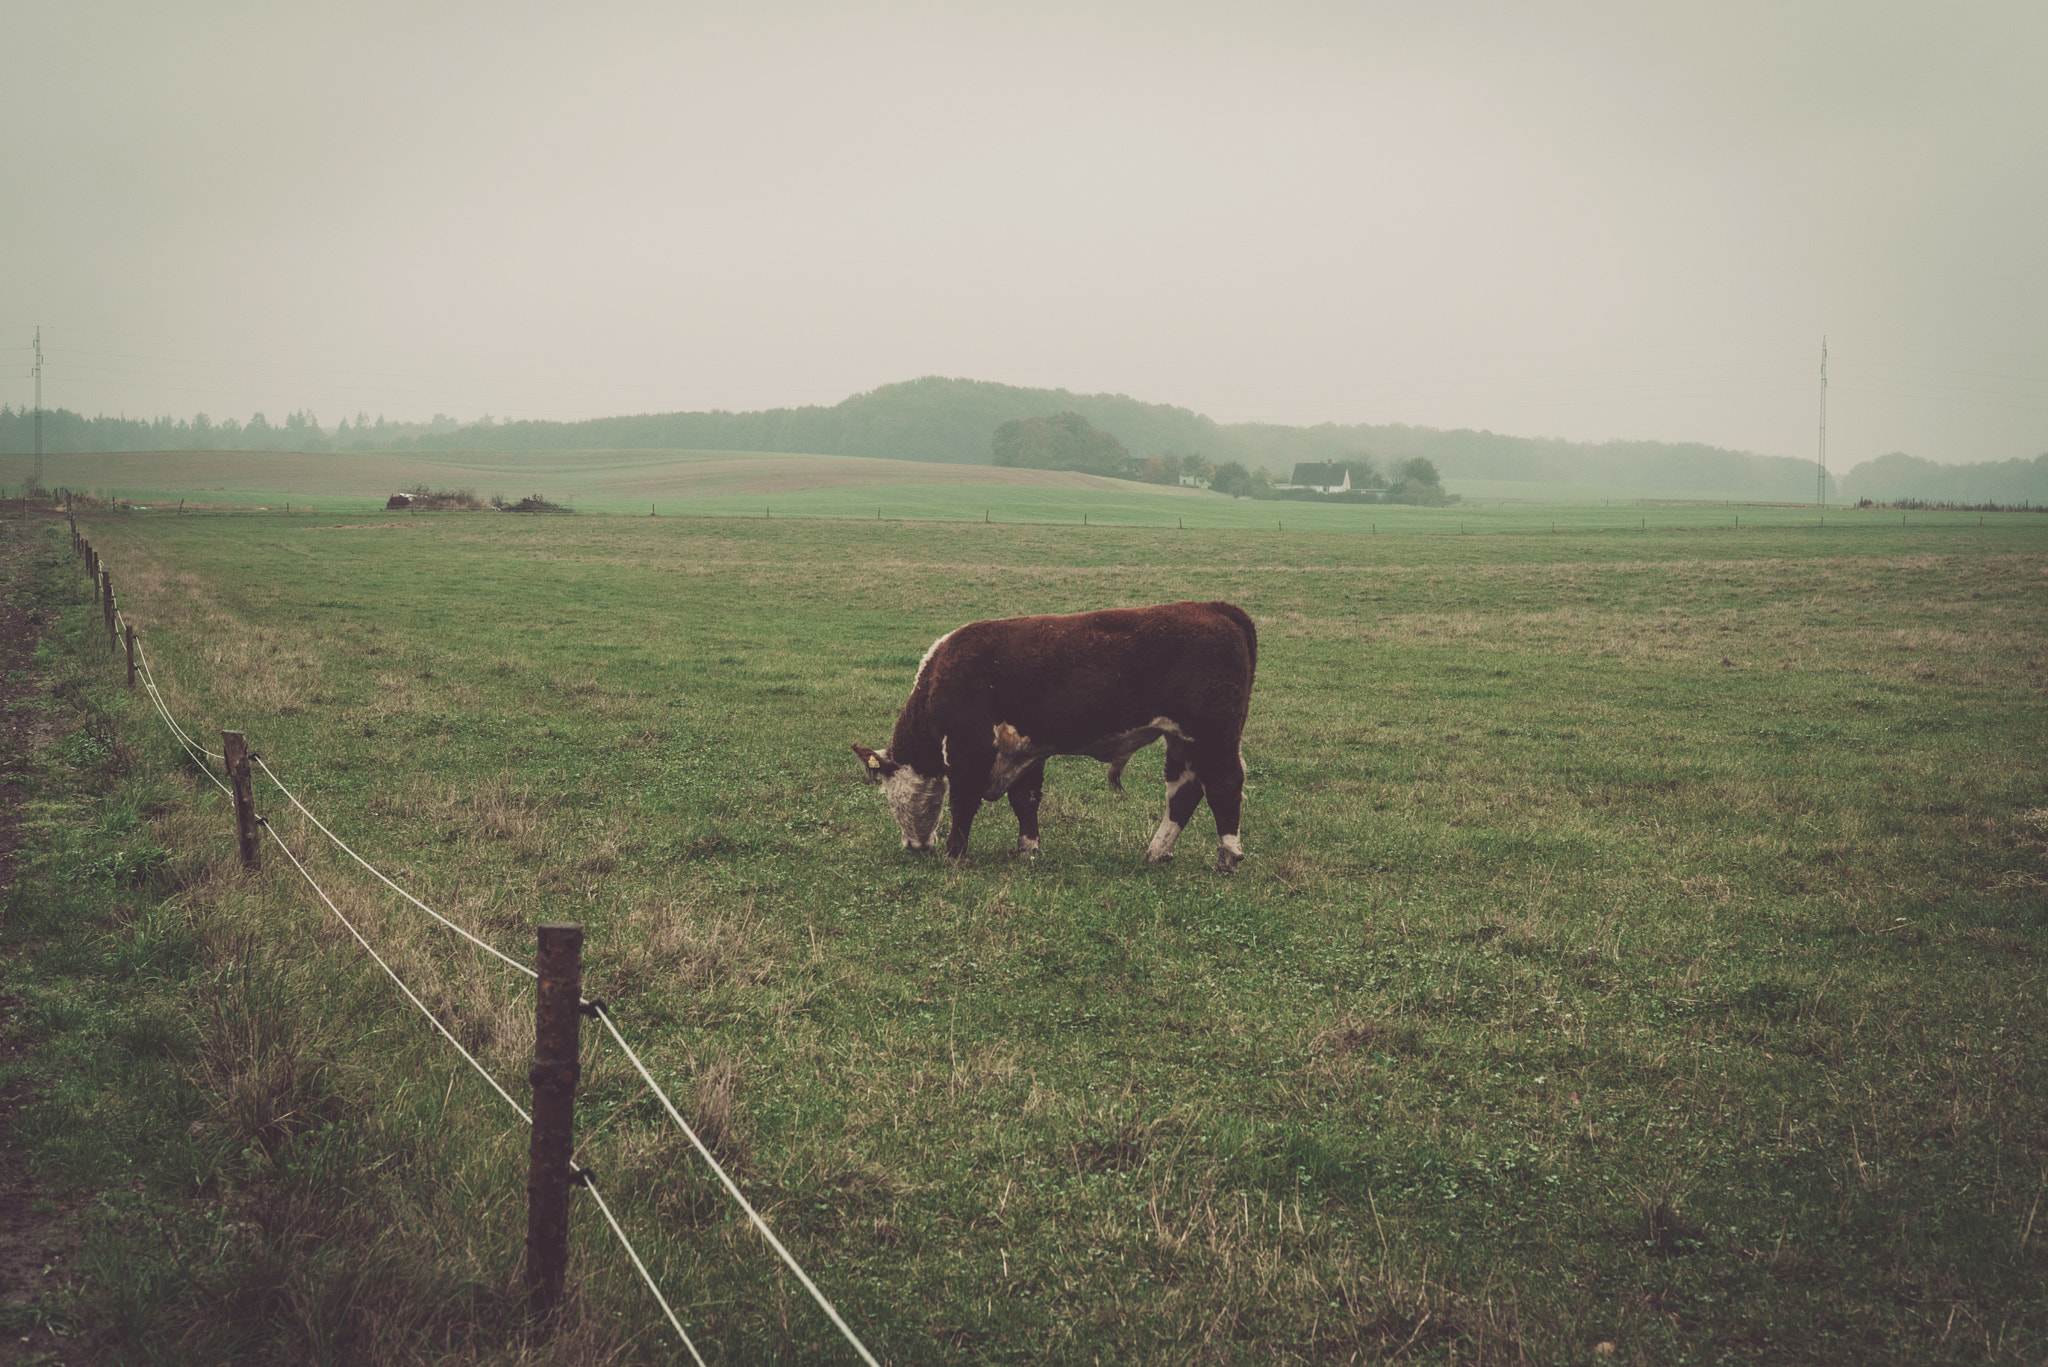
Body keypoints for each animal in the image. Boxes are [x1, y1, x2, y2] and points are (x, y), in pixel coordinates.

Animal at [851, 602, 1261, 877]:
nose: (913, 847)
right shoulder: (1026, 751)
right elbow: (1025, 801)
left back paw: (1227, 858)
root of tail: (1215, 608)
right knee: (1184, 793)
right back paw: (1156, 853)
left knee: (1224, 786)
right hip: (1181, 742)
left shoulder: (970, 748)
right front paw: (1027, 849)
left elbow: (964, 802)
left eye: (889, 794)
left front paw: (955, 853)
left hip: (1212, 737)